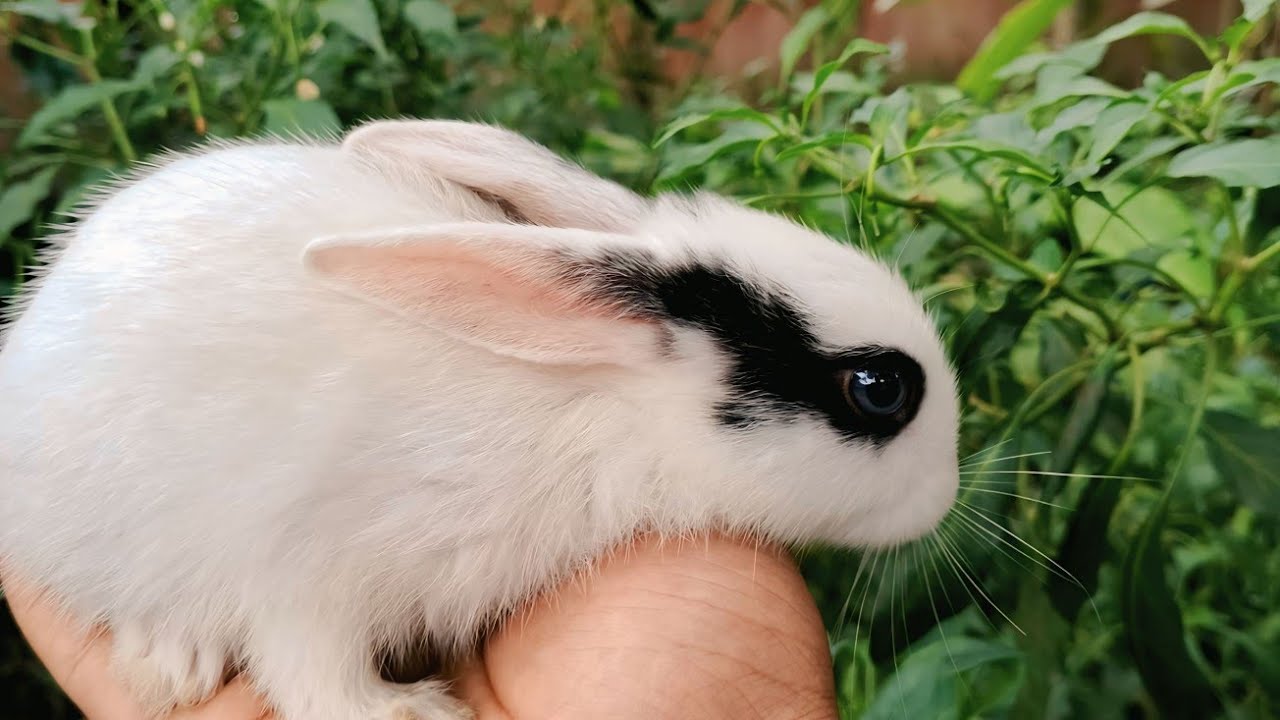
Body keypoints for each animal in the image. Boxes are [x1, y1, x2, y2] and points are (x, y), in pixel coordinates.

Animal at [0, 119, 960, 720]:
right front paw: (410, 713)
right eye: (879, 388)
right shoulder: (302, 569)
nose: (949, 495)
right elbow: (314, 678)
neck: (609, 407)